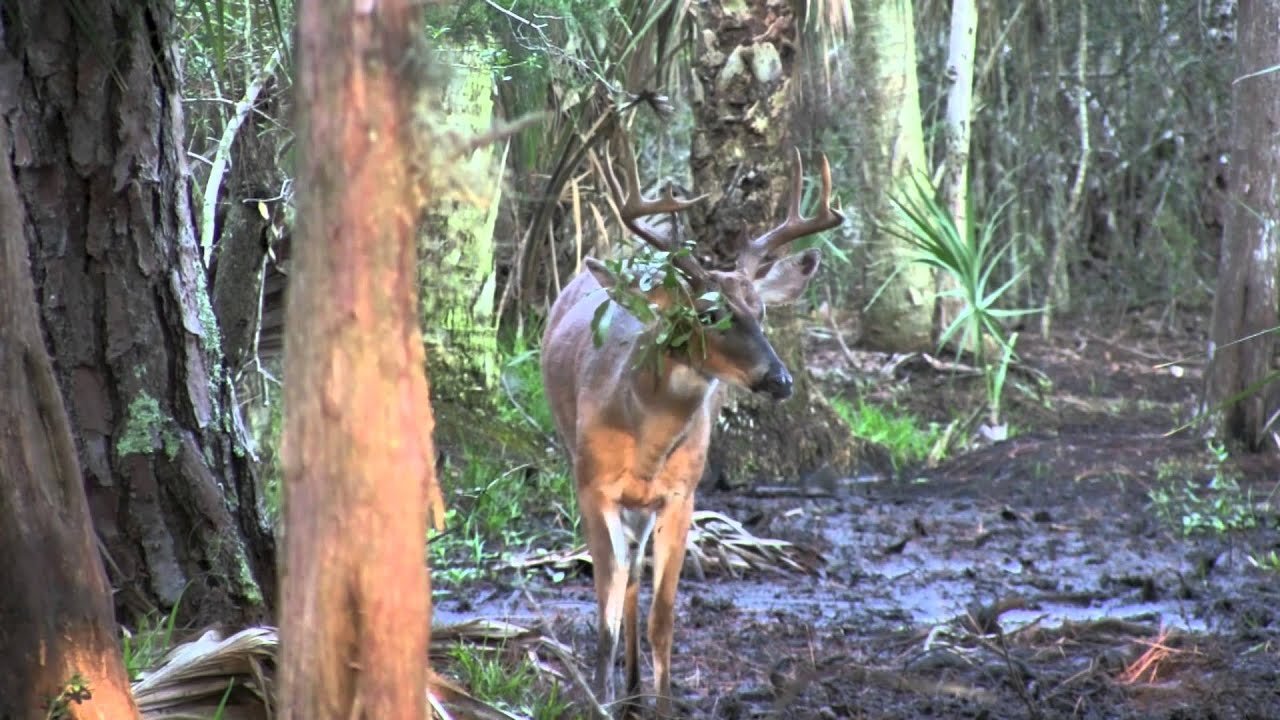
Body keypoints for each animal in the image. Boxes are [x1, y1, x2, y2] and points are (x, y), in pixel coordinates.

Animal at [537, 137, 839, 712]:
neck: (645, 443)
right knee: (622, 577)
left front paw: (661, 705)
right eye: (707, 314)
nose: (780, 379)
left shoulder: (683, 494)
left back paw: (635, 692)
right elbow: (605, 611)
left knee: (636, 571)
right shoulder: (591, 486)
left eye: (761, 310)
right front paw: (599, 701)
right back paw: (622, 692)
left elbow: (664, 618)